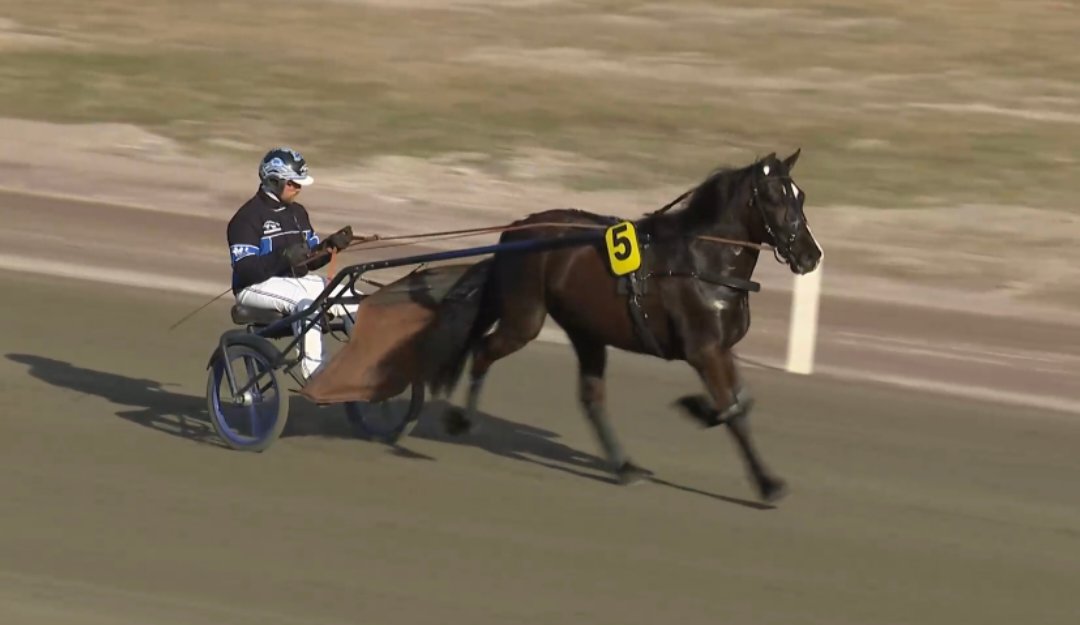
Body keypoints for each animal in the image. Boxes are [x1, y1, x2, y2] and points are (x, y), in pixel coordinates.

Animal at [422, 149, 822, 503]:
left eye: (800, 195)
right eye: (773, 196)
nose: (811, 255)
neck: (705, 262)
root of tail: (516, 229)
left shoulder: (721, 348)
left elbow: (739, 403)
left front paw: (701, 408)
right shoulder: (703, 350)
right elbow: (735, 414)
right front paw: (768, 484)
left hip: (587, 333)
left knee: (592, 397)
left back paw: (625, 466)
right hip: (525, 319)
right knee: (483, 351)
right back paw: (461, 420)